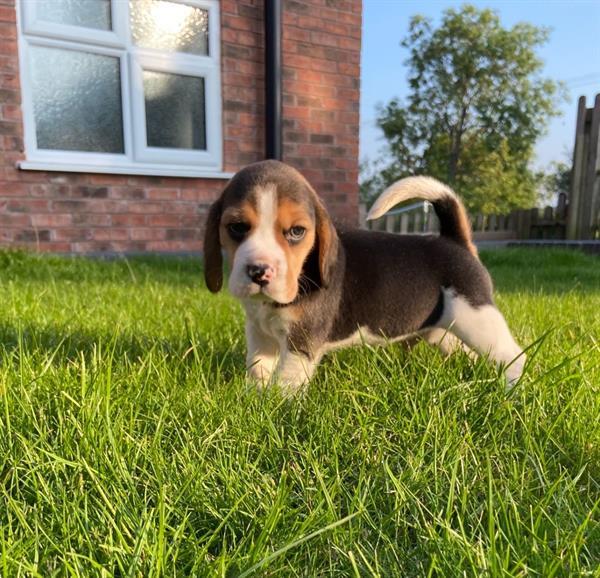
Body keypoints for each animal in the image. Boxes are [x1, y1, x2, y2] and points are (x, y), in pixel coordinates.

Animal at [203, 160, 524, 392]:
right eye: (236, 227)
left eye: (296, 232)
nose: (259, 271)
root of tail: (455, 241)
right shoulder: (259, 333)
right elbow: (257, 369)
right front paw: (252, 400)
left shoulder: (300, 344)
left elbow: (285, 384)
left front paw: (276, 411)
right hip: (444, 331)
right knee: (468, 352)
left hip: (477, 318)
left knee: (513, 357)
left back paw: (509, 393)